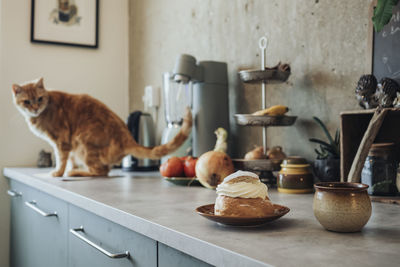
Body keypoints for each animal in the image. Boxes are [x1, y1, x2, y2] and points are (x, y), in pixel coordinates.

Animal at [11, 78, 193, 178]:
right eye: (27, 102)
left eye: (39, 99)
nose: (35, 108)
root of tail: (127, 138)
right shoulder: (69, 145)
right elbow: (70, 159)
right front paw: (70, 168)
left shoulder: (62, 140)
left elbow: (62, 160)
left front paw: (58, 172)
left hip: (83, 141)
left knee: (101, 172)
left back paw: (78, 173)